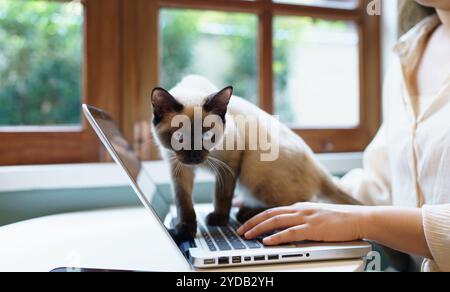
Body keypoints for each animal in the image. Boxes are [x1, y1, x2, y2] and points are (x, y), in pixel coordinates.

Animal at [151, 74, 358, 240]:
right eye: (179, 136)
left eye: (207, 135)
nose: (194, 157)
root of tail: (319, 167)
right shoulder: (177, 167)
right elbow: (183, 201)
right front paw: (184, 230)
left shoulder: (230, 162)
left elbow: (222, 195)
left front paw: (218, 220)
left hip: (253, 171)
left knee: (300, 204)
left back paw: (247, 213)